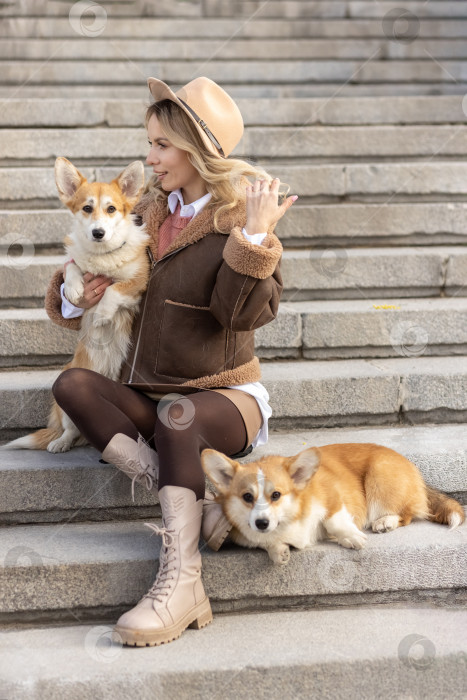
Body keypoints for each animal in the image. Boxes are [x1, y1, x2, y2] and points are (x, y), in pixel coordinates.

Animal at [3, 158, 150, 454]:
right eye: (87, 208)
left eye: (111, 209)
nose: (98, 232)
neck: (102, 256)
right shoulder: (75, 263)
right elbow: (71, 266)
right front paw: (73, 290)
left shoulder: (138, 281)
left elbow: (114, 290)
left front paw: (103, 313)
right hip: (66, 391)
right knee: (71, 430)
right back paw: (60, 442)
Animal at [200, 446, 464, 568]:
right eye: (247, 497)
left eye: (276, 495)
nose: (261, 523)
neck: (288, 519)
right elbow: (266, 543)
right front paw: (278, 551)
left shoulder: (332, 497)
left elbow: (334, 520)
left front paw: (351, 538)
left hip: (379, 480)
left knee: (407, 513)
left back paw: (385, 521)